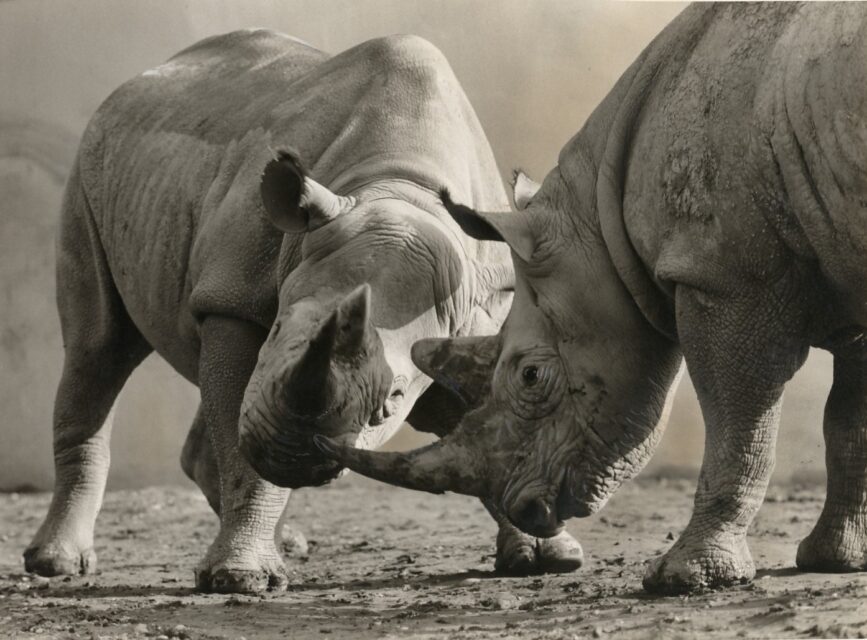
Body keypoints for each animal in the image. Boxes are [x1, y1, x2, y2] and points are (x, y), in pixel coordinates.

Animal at [22, 30, 588, 593]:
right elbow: (242, 448)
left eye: (393, 400)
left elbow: (498, 426)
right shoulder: (234, 301)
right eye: (276, 330)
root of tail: (150, 74)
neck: (398, 188)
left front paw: (549, 556)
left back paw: (289, 543)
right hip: (91, 170)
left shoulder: (474, 323)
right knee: (98, 348)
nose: (290, 455)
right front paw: (241, 577)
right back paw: (57, 564)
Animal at [318, 3, 867, 594]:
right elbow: (847, 424)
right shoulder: (842, 263)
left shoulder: (723, 275)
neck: (600, 227)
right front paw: (835, 560)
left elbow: (739, 425)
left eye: (530, 376)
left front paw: (685, 578)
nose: (524, 507)